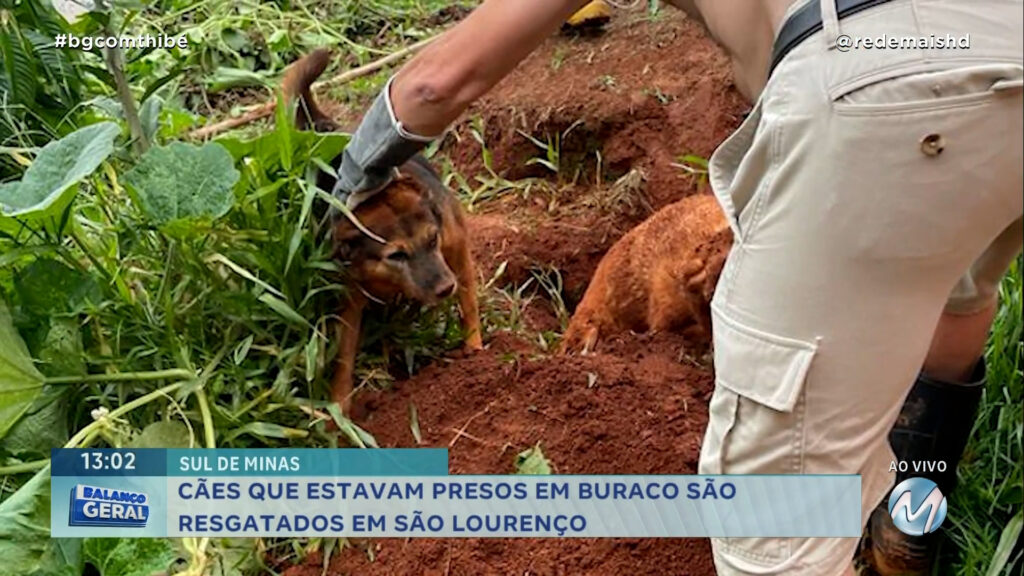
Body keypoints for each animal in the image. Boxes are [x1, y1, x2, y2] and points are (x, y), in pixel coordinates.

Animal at [284, 47, 483, 409]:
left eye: (433, 240)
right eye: (396, 255)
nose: (444, 287)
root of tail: (323, 128)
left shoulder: (456, 244)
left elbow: (469, 301)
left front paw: (475, 350)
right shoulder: (349, 293)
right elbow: (344, 355)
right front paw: (338, 409)